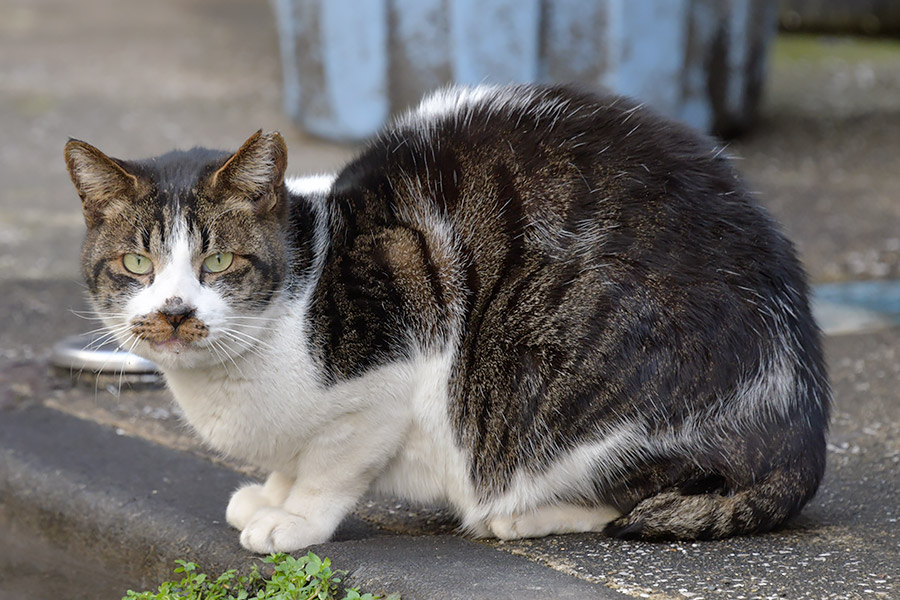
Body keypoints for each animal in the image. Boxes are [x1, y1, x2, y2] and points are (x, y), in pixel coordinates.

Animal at [67, 84, 832, 552]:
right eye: (137, 264)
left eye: (219, 262)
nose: (174, 313)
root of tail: (804, 427)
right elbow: (294, 459)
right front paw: (271, 494)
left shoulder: (398, 343)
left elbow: (331, 466)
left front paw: (295, 518)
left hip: (595, 401)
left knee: (631, 498)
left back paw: (518, 516)